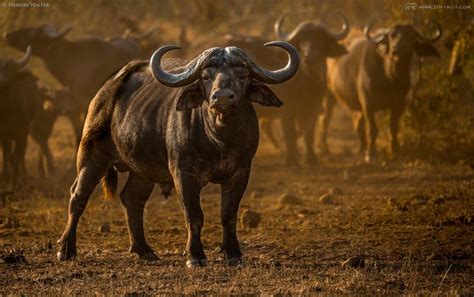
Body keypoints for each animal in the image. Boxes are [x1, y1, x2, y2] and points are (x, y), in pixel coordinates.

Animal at [57, 41, 298, 266]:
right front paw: (195, 256)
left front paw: (233, 254)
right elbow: (194, 215)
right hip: (91, 155)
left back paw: (144, 250)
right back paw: (66, 249)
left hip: (143, 171)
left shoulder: (240, 172)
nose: (221, 98)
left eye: (242, 75)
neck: (219, 140)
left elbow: (228, 215)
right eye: (206, 76)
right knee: (78, 196)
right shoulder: (183, 174)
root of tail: (106, 90)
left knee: (132, 199)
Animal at [320, 20, 442, 162]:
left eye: (410, 36)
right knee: (325, 120)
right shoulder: (368, 104)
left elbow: (393, 127)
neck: (390, 77)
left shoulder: (399, 103)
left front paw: (394, 149)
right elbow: (373, 129)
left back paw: (361, 148)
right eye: (391, 36)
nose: (397, 48)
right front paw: (371, 153)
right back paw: (325, 149)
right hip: (328, 95)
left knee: (357, 123)